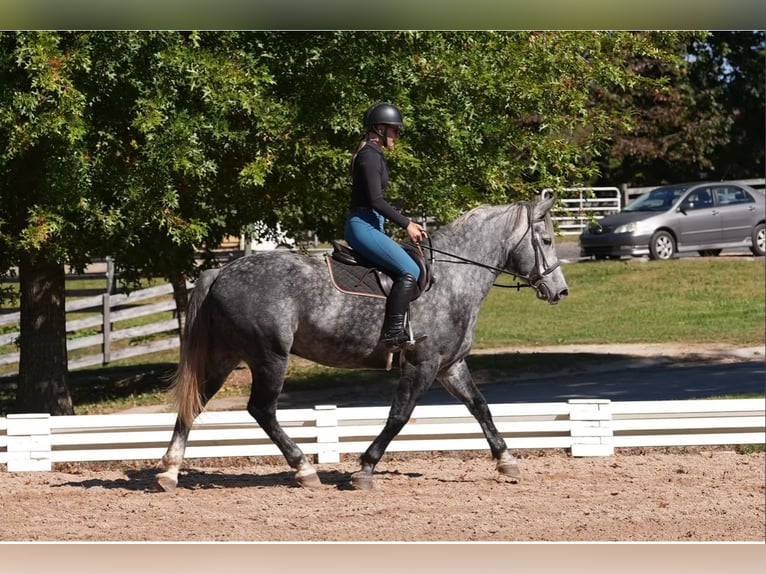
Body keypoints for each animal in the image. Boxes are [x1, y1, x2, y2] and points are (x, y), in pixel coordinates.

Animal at [156, 196, 569, 491]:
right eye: (546, 240)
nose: (560, 291)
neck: (454, 277)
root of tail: (222, 271)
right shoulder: (422, 363)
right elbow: (399, 415)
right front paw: (365, 468)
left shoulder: (450, 365)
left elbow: (480, 407)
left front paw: (507, 460)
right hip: (270, 356)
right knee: (262, 409)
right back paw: (304, 469)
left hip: (226, 356)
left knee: (196, 403)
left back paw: (170, 472)